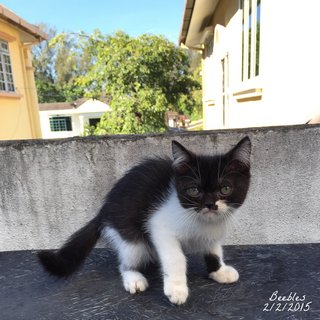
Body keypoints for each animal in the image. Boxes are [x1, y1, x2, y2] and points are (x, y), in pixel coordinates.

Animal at [38, 138, 251, 304]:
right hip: (130, 238)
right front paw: (176, 289)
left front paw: (219, 270)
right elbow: (175, 257)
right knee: (126, 260)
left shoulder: (213, 231)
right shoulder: (159, 226)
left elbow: (214, 249)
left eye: (225, 189)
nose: (210, 205)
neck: (201, 221)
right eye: (194, 190)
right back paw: (133, 277)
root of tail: (104, 210)